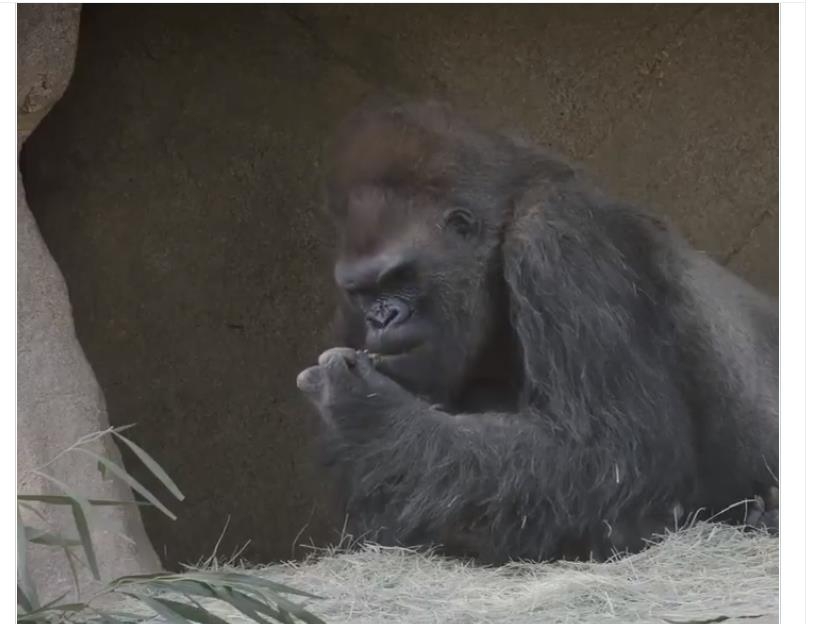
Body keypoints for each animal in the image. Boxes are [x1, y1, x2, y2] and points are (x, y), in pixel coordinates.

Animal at [296, 98, 776, 564]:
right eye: (362, 292)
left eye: (401, 277)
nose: (382, 318)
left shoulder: (557, 239)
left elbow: (621, 454)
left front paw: (364, 413)